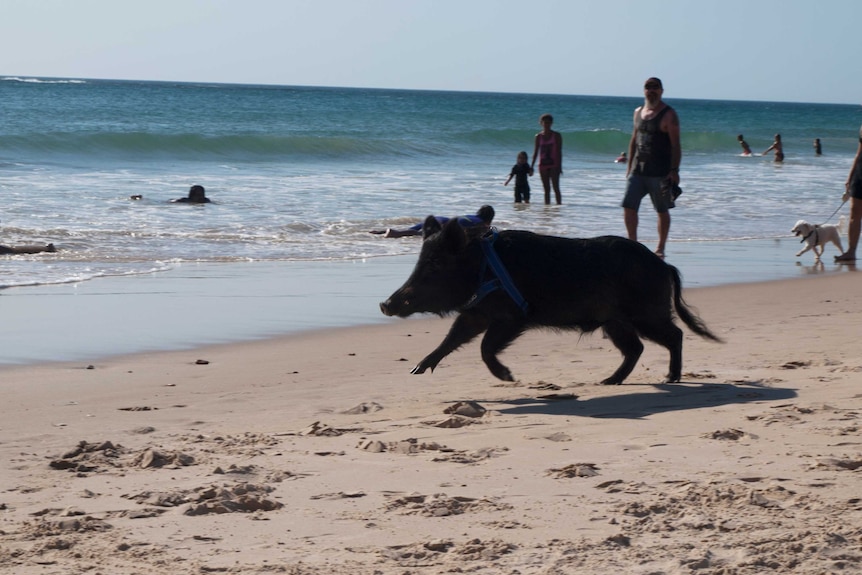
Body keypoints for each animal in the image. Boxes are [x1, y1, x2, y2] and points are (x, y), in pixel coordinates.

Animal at [382, 216, 724, 388]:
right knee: (636, 348)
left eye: (435, 265)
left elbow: (485, 347)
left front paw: (509, 377)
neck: (482, 268)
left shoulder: (514, 317)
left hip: (646, 313)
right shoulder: (476, 313)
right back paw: (607, 382)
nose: (385, 304)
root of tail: (665, 267)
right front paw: (416, 370)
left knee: (674, 335)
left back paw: (669, 378)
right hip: (616, 322)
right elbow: (452, 338)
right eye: (421, 261)